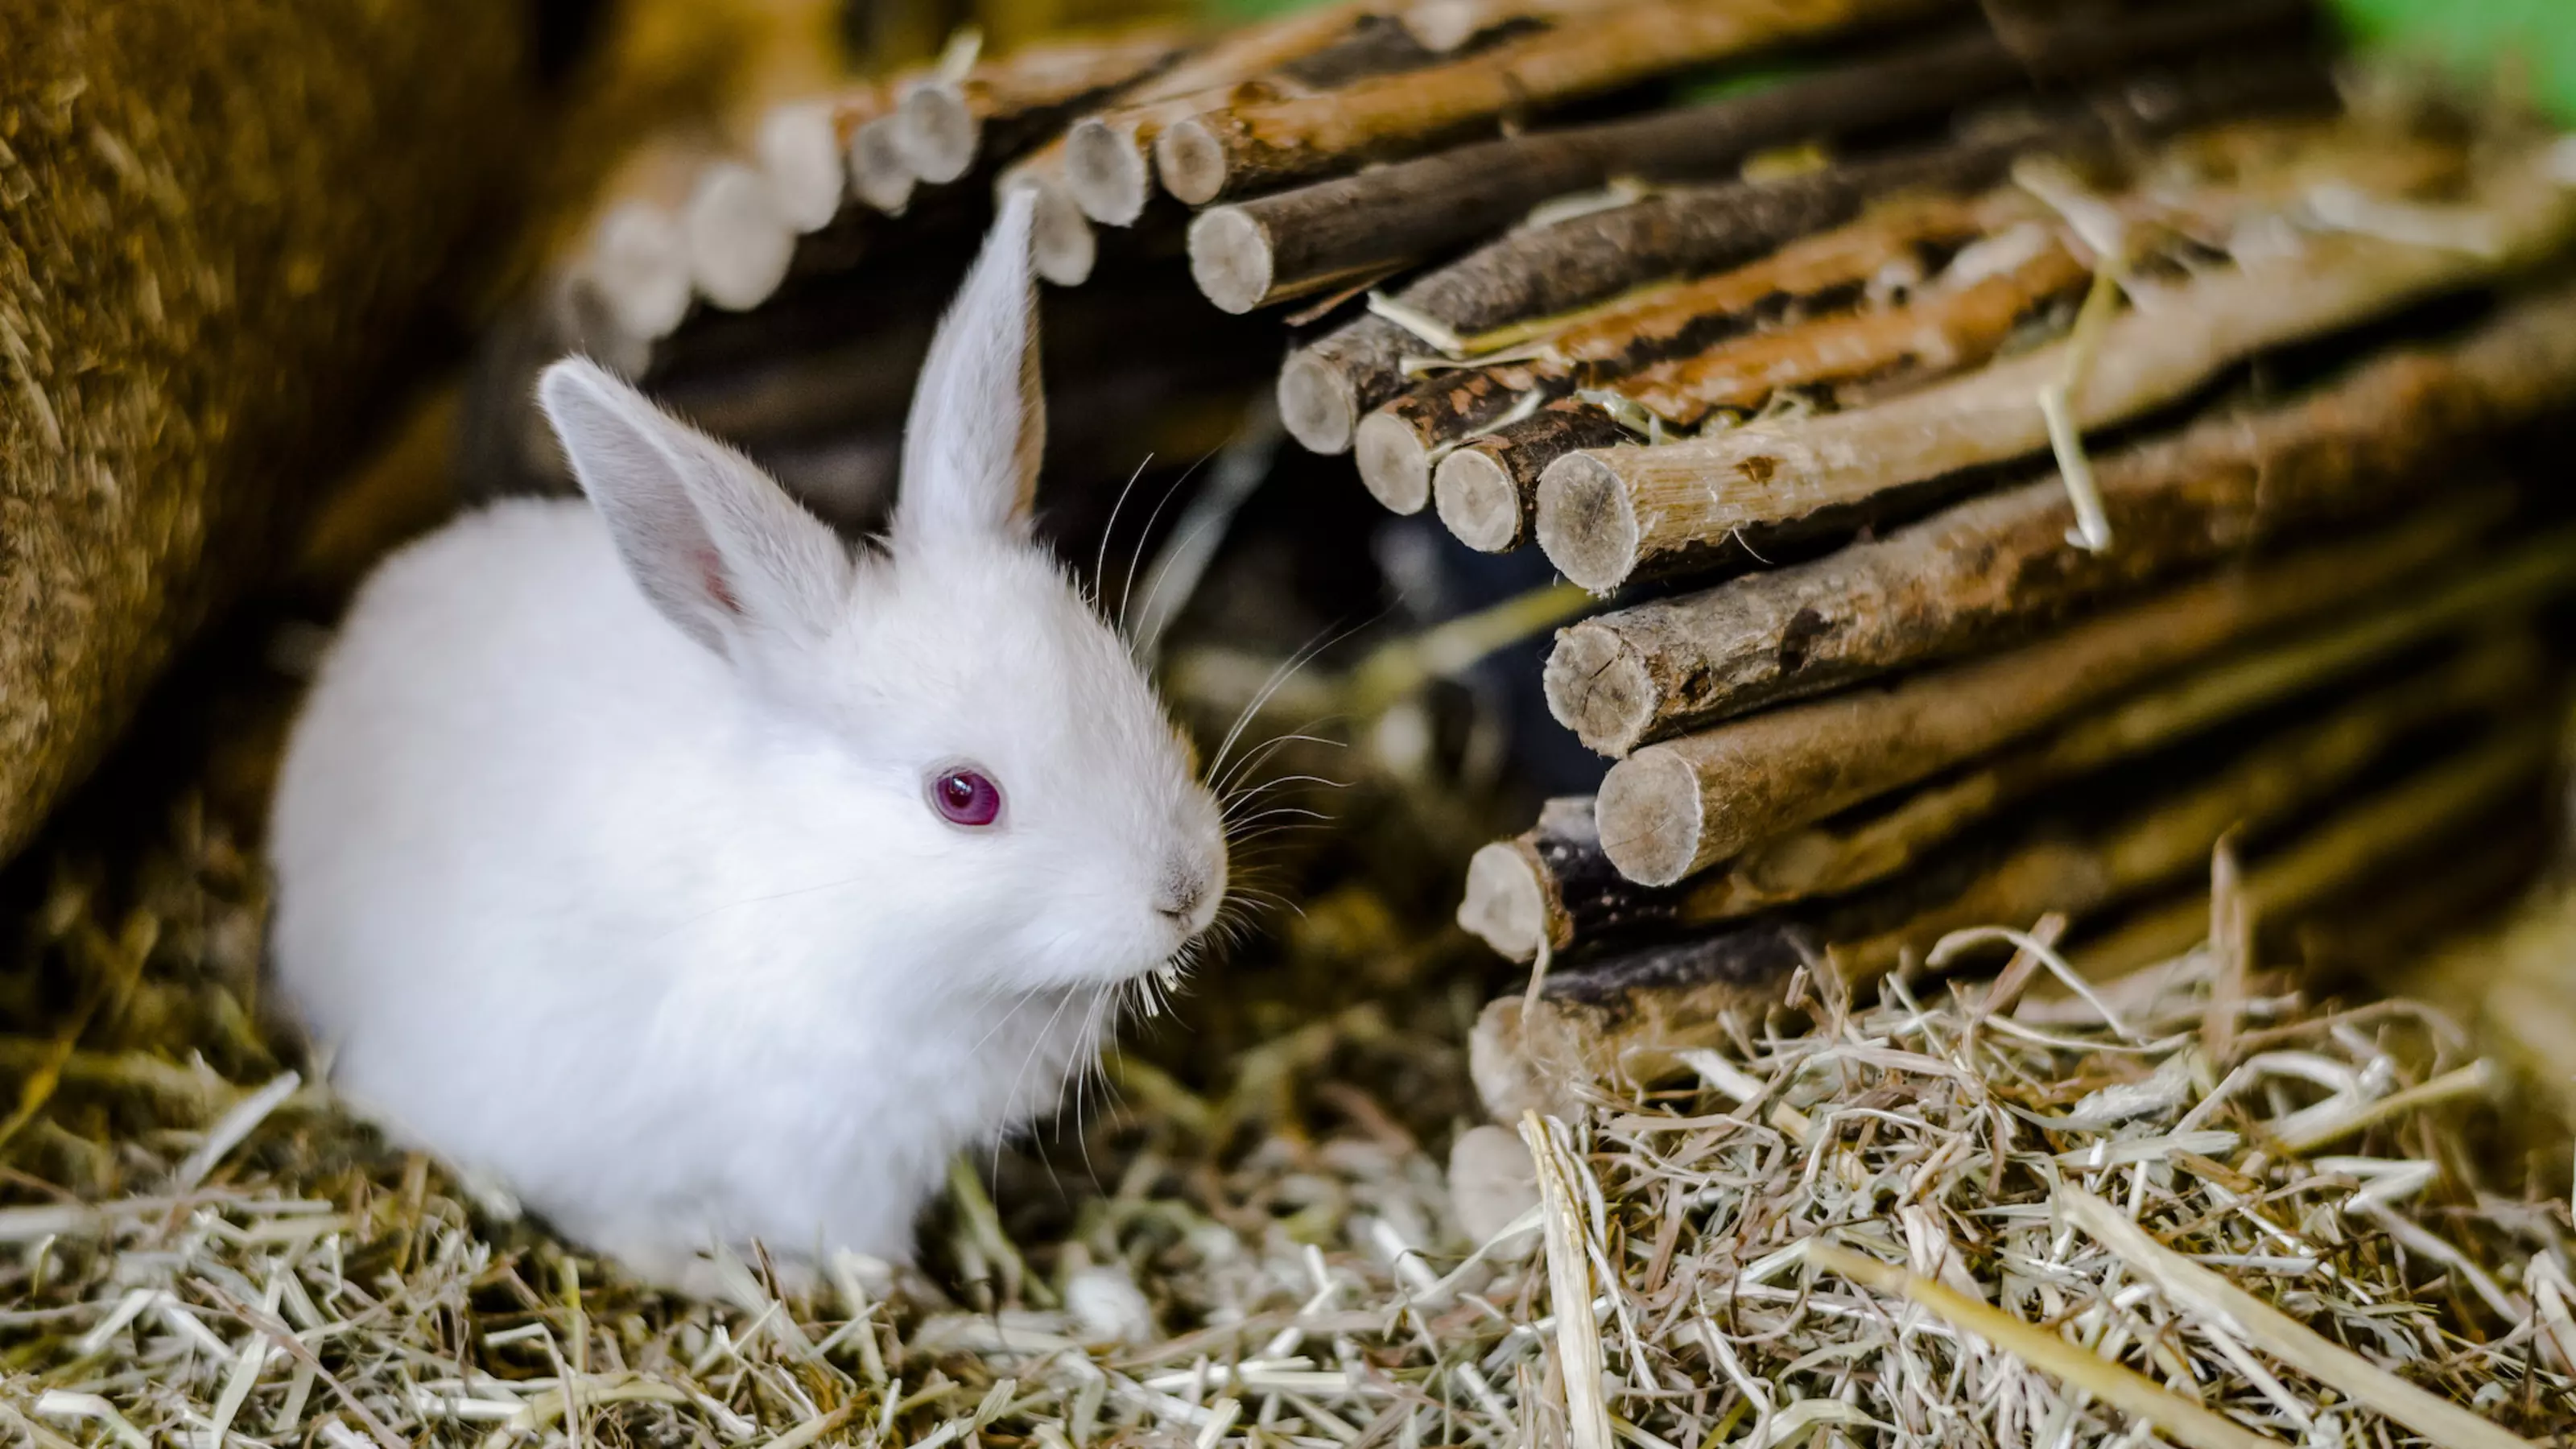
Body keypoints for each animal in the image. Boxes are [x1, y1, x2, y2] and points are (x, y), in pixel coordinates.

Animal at [271, 192, 1226, 1284]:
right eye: (963, 796)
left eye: (1123, 676)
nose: (1186, 894)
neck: (819, 891)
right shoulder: (825, 1158)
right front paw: (879, 1282)